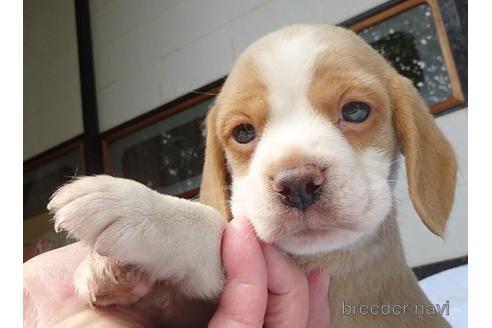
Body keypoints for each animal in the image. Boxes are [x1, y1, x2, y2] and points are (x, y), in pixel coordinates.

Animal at [48, 24, 456, 326]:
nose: (297, 183)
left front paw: (139, 209)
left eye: (355, 111)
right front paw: (112, 269)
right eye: (244, 132)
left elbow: (218, 232)